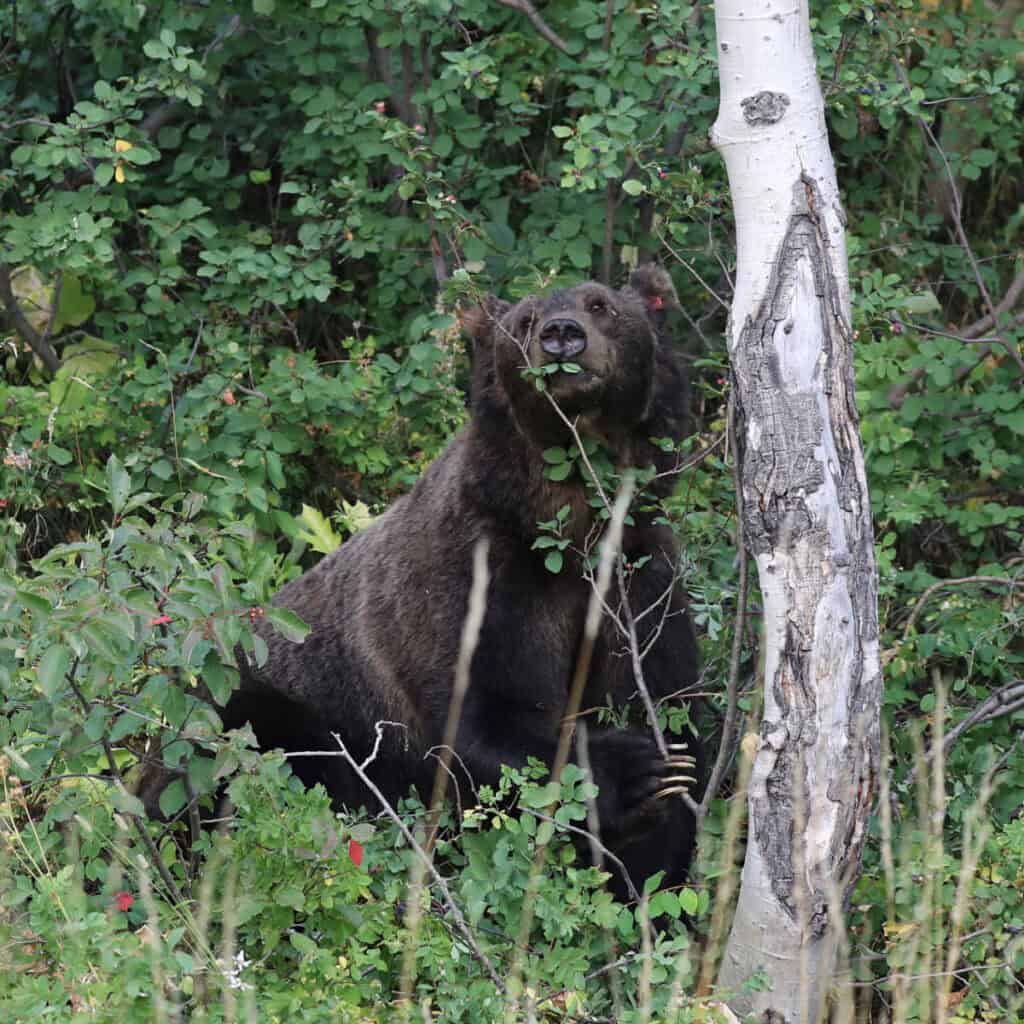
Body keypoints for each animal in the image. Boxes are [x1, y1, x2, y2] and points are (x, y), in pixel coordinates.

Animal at [222, 265, 704, 898]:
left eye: (602, 304)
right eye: (523, 319)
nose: (562, 334)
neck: (571, 522)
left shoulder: (639, 574)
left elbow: (670, 707)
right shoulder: (480, 578)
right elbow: (484, 719)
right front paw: (635, 772)